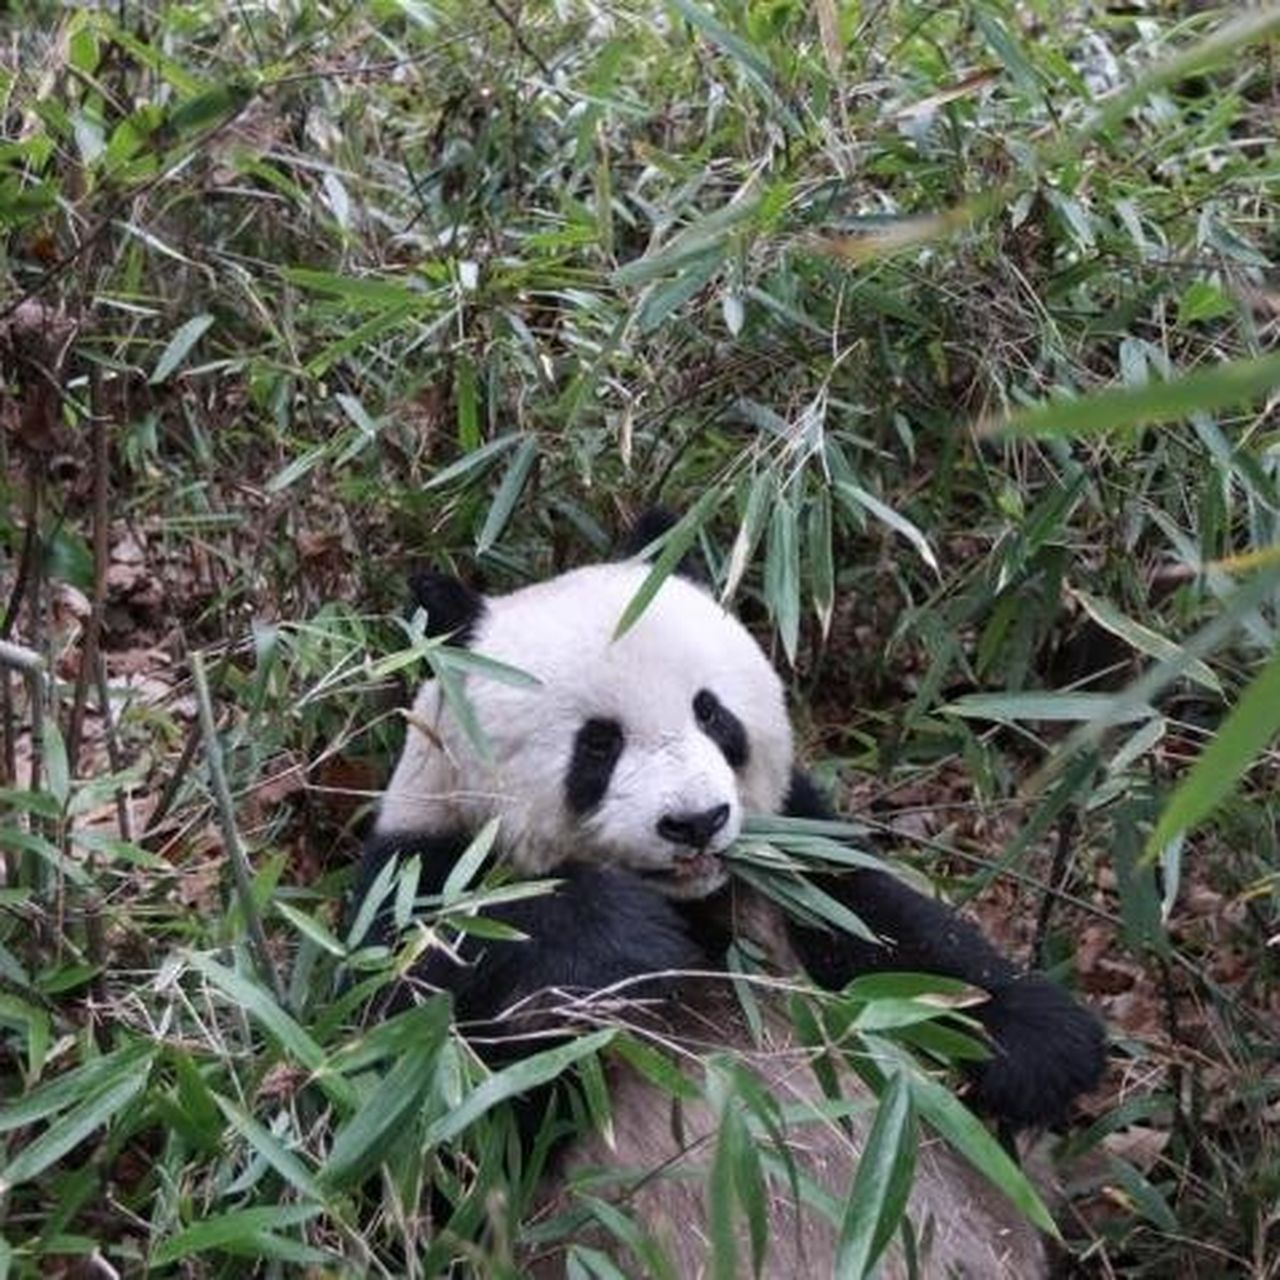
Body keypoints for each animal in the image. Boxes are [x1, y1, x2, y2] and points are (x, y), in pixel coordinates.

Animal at [353, 518, 1105, 1277]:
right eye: (598, 744)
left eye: (711, 712)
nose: (695, 822)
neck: (695, 902)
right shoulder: (419, 883)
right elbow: (427, 1103)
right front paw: (628, 943)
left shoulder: (794, 855)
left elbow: (890, 932)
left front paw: (1040, 1048)